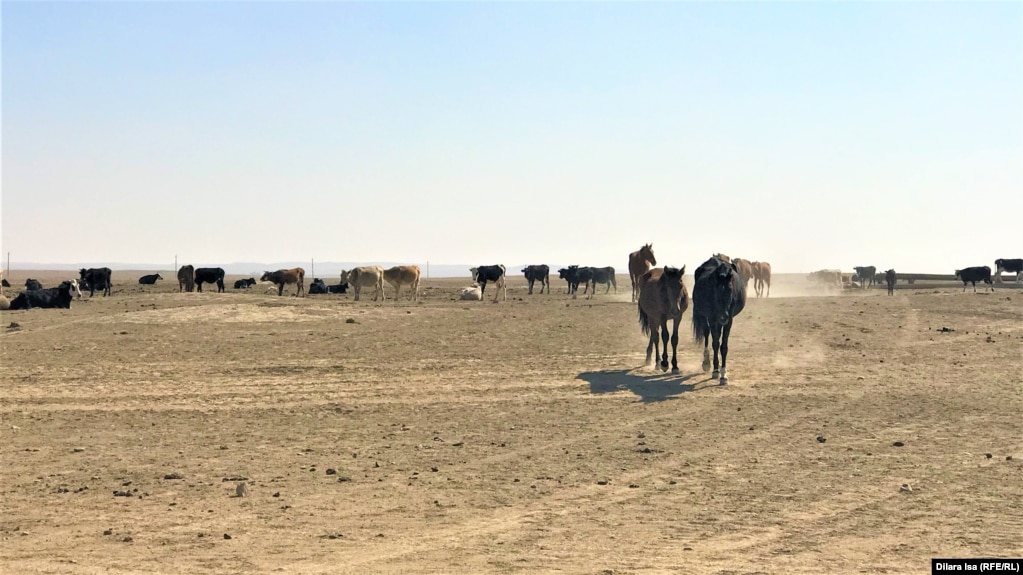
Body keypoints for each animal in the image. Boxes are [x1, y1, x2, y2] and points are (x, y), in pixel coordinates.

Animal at [691, 255, 748, 384]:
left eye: (730, 289)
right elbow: (716, 343)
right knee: (707, 333)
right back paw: (706, 363)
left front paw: (724, 374)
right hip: (704, 316)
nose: (723, 316)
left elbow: (724, 346)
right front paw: (716, 371)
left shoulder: (729, 320)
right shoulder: (712, 318)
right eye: (716, 291)